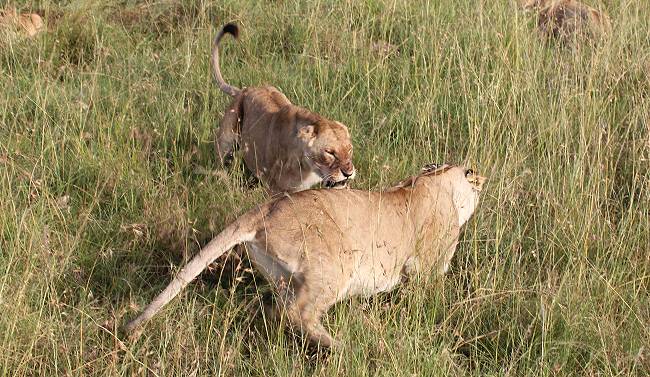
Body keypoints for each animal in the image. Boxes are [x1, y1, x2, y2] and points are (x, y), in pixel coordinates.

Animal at [124, 164, 484, 346]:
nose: (481, 179)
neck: (432, 180)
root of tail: (267, 207)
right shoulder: (427, 269)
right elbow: (431, 296)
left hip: (283, 274)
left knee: (278, 311)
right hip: (335, 267)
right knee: (299, 313)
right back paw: (339, 346)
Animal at [211, 23, 354, 192]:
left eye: (349, 149)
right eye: (330, 152)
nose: (348, 173)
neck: (308, 168)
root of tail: (244, 90)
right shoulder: (275, 188)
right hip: (225, 143)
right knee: (220, 164)